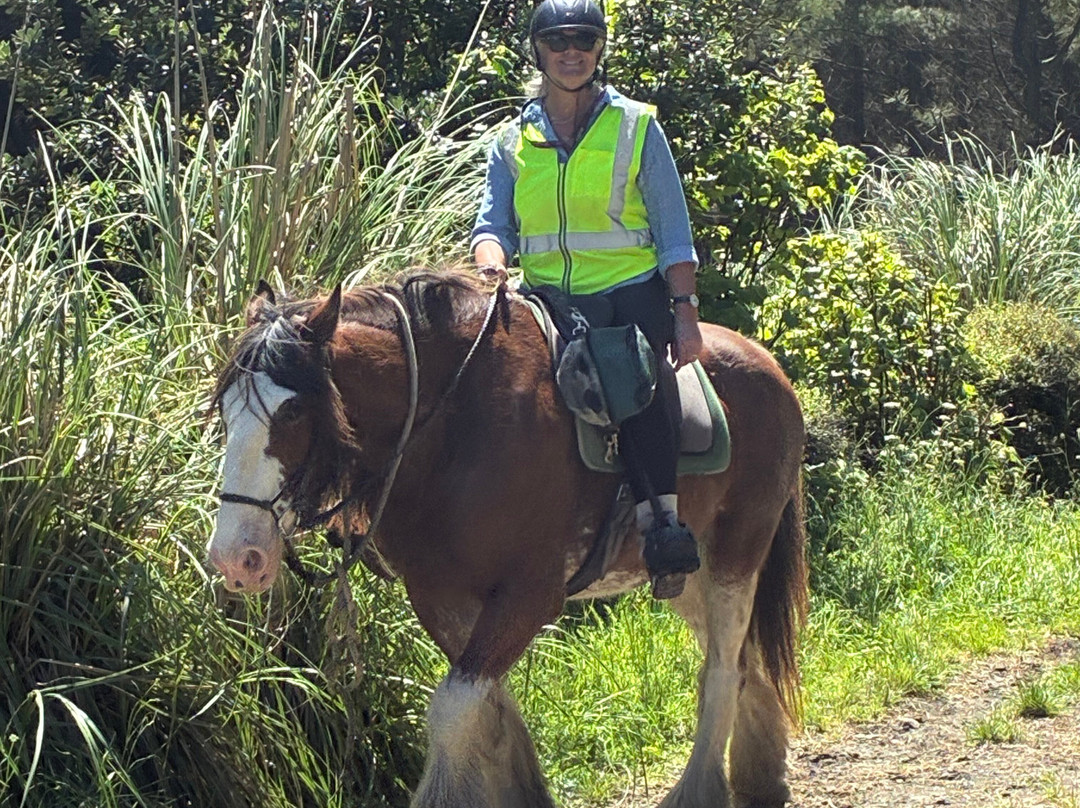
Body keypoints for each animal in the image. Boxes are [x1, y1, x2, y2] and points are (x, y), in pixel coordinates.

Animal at [207, 269, 807, 808]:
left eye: (292, 410)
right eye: (226, 410)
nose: (237, 558)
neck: (457, 424)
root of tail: (769, 365)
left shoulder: (529, 596)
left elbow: (454, 710)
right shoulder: (442, 597)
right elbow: (488, 711)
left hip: (737, 553)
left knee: (723, 672)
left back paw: (701, 790)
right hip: (688, 575)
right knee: (741, 662)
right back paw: (760, 778)